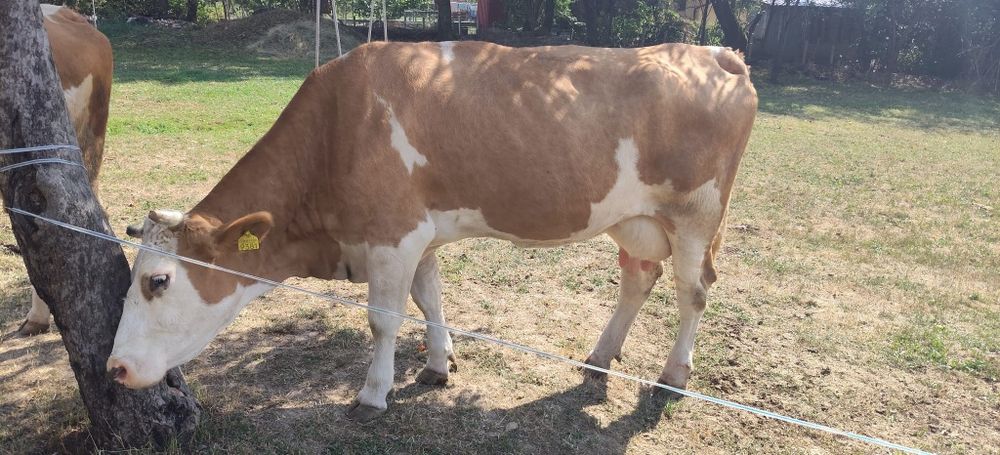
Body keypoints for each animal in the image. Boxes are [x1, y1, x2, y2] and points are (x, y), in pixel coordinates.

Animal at [108, 41, 757, 420]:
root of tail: (713, 52)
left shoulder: (391, 234)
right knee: (638, 277)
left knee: (694, 291)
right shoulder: (416, 235)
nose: (114, 368)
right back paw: (600, 357)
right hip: (633, 218)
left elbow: (383, 318)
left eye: (158, 281)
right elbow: (430, 298)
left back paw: (673, 375)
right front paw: (438, 364)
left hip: (696, 213)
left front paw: (373, 394)